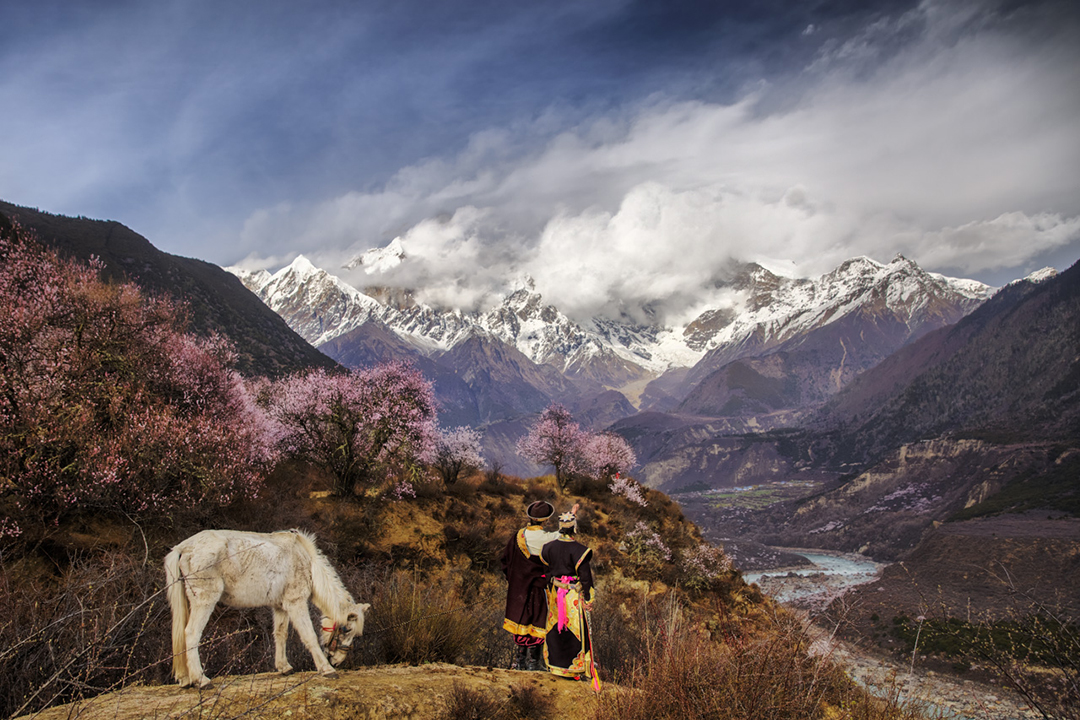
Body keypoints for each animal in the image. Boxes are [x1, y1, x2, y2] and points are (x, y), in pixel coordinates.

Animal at [162, 528, 369, 686]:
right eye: (347, 629)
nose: (337, 661)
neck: (306, 561)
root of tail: (183, 547)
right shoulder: (296, 603)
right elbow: (308, 636)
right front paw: (326, 669)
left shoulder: (280, 607)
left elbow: (280, 634)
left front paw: (284, 667)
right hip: (204, 601)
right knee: (191, 633)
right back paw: (201, 680)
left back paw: (185, 679)